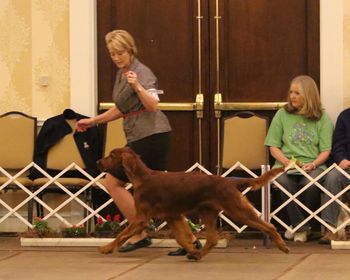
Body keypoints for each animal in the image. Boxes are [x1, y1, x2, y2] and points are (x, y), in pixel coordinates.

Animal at [97, 148, 288, 260]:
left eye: (111, 156)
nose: (98, 162)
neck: (141, 178)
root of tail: (229, 181)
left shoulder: (142, 218)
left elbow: (121, 234)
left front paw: (106, 248)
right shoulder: (173, 215)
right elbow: (182, 237)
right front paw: (192, 249)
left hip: (237, 211)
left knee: (269, 226)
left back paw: (283, 246)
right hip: (208, 213)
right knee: (212, 239)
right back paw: (198, 255)